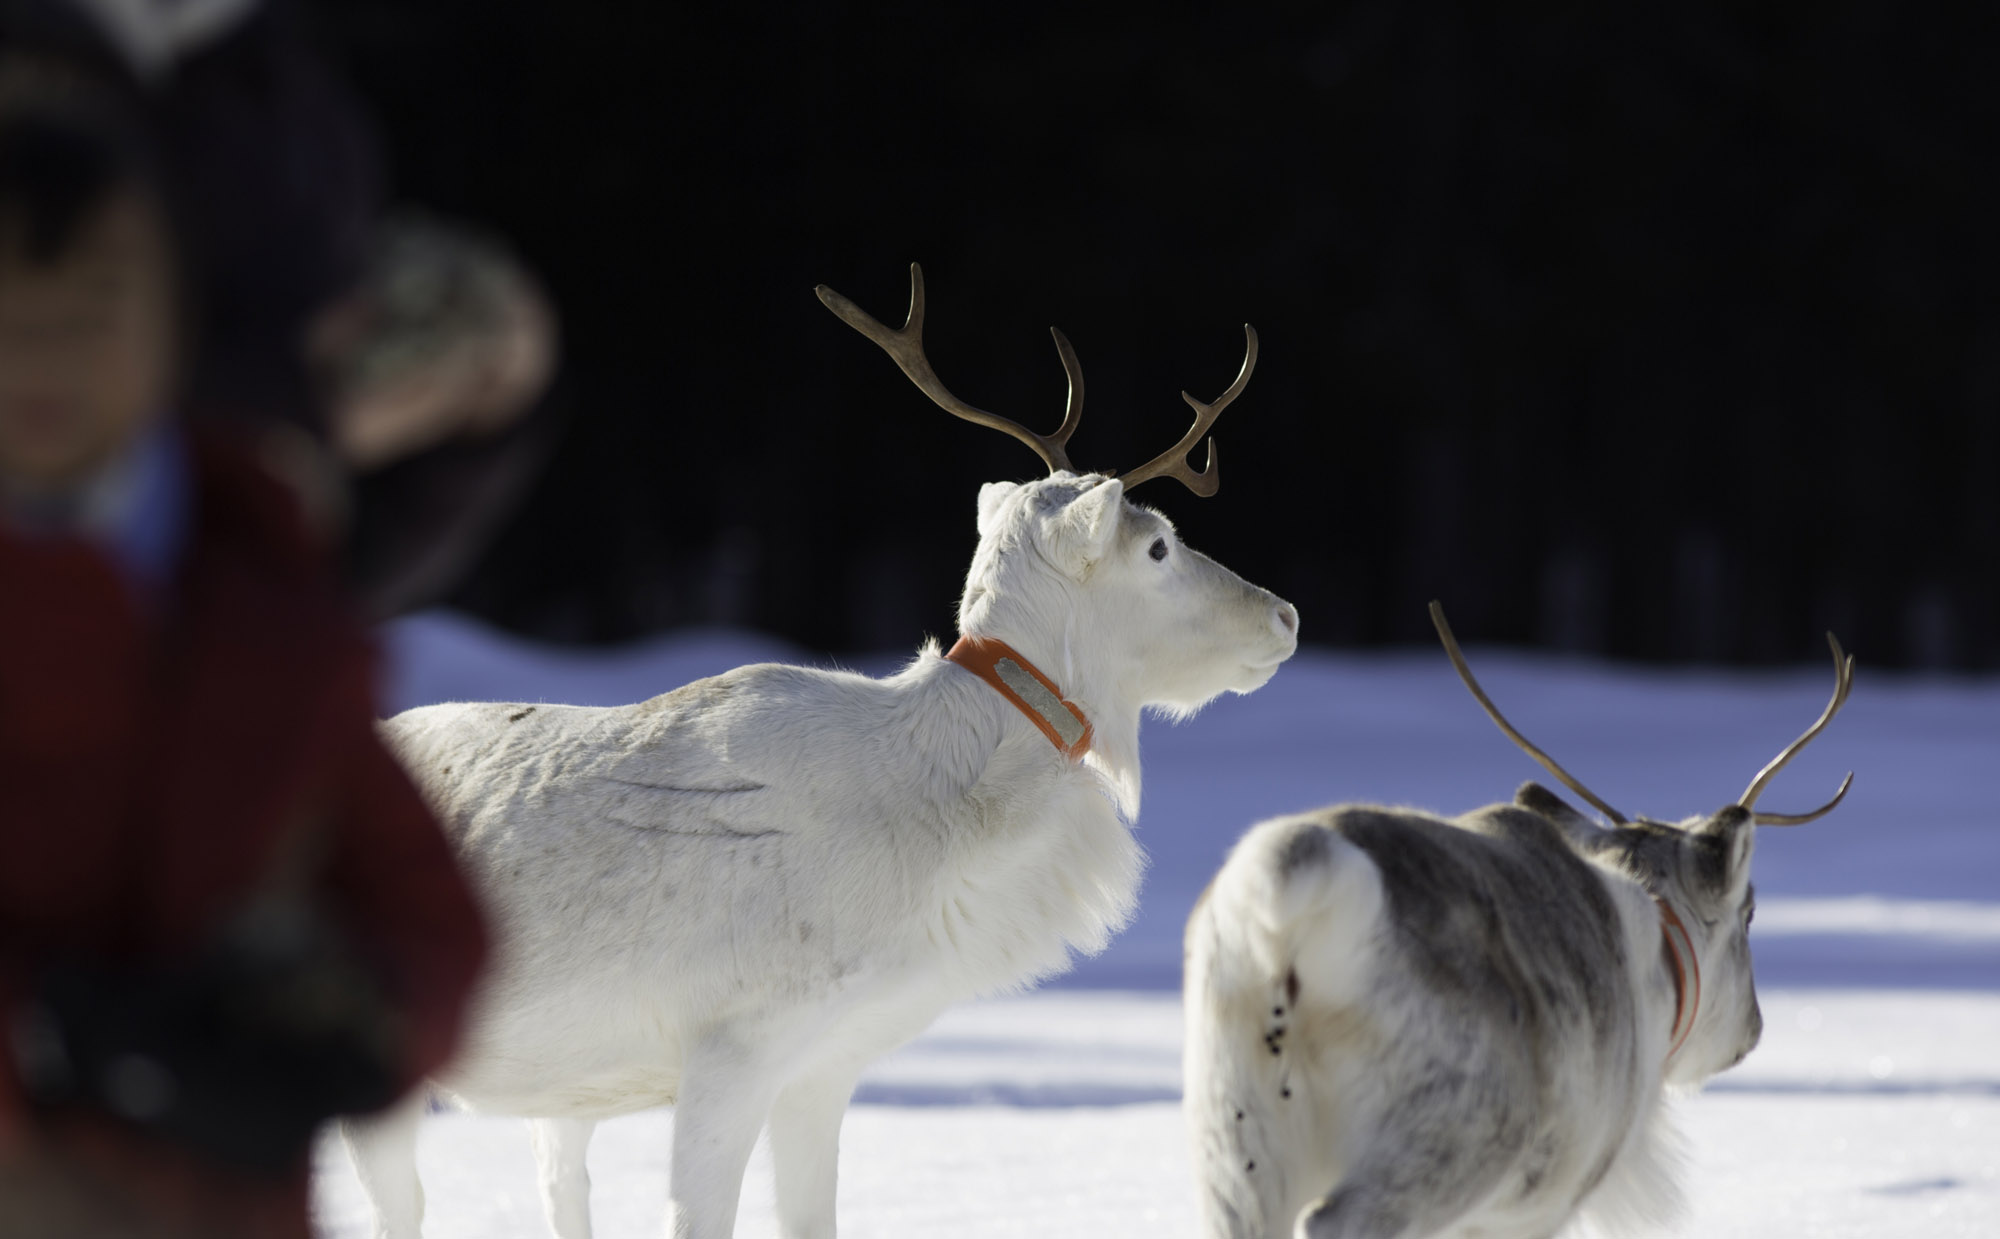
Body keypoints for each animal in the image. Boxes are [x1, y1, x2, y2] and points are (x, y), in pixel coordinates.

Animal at [338, 265, 1301, 1239]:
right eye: (1158, 545)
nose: (1284, 615)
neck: (948, 838)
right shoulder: (735, 1042)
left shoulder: (824, 1064)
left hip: (558, 1096)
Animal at [1183, 603, 1854, 1239]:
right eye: (1750, 913)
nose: (1754, 1029)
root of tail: (1298, 893)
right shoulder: (1537, 1207)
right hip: (1459, 1137)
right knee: (1335, 1219)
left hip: (1236, 1139)